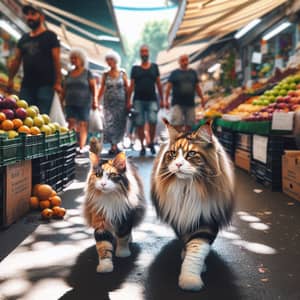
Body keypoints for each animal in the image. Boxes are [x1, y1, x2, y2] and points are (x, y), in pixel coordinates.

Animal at [83, 139, 145, 274]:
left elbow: (123, 236)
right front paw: (105, 266)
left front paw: (123, 253)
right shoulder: (100, 221)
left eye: (112, 175)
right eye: (98, 175)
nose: (103, 184)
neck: (110, 198)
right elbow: (103, 246)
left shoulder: (125, 217)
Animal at [150, 119, 234, 290]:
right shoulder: (180, 216)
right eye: (173, 154)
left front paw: (190, 279)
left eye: (191, 154)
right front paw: (185, 254)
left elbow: (196, 249)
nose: (178, 164)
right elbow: (185, 240)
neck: (188, 188)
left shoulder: (206, 219)